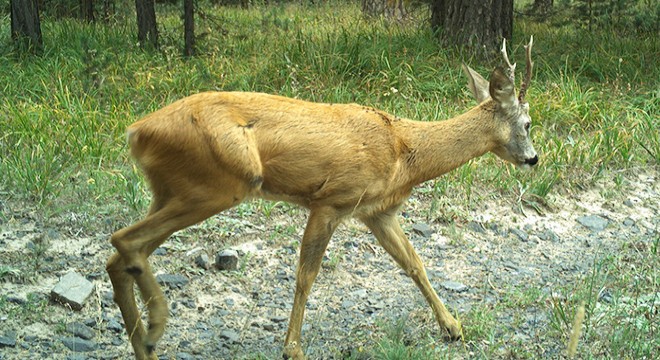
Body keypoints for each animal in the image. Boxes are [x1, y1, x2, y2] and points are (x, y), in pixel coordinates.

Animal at [107, 35, 536, 358]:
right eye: (529, 123)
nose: (533, 158)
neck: (404, 150)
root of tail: (136, 131)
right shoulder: (331, 200)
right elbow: (306, 276)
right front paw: (292, 349)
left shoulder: (377, 212)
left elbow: (415, 264)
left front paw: (452, 327)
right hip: (222, 182)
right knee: (124, 241)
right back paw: (155, 326)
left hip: (173, 189)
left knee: (121, 256)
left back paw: (145, 345)